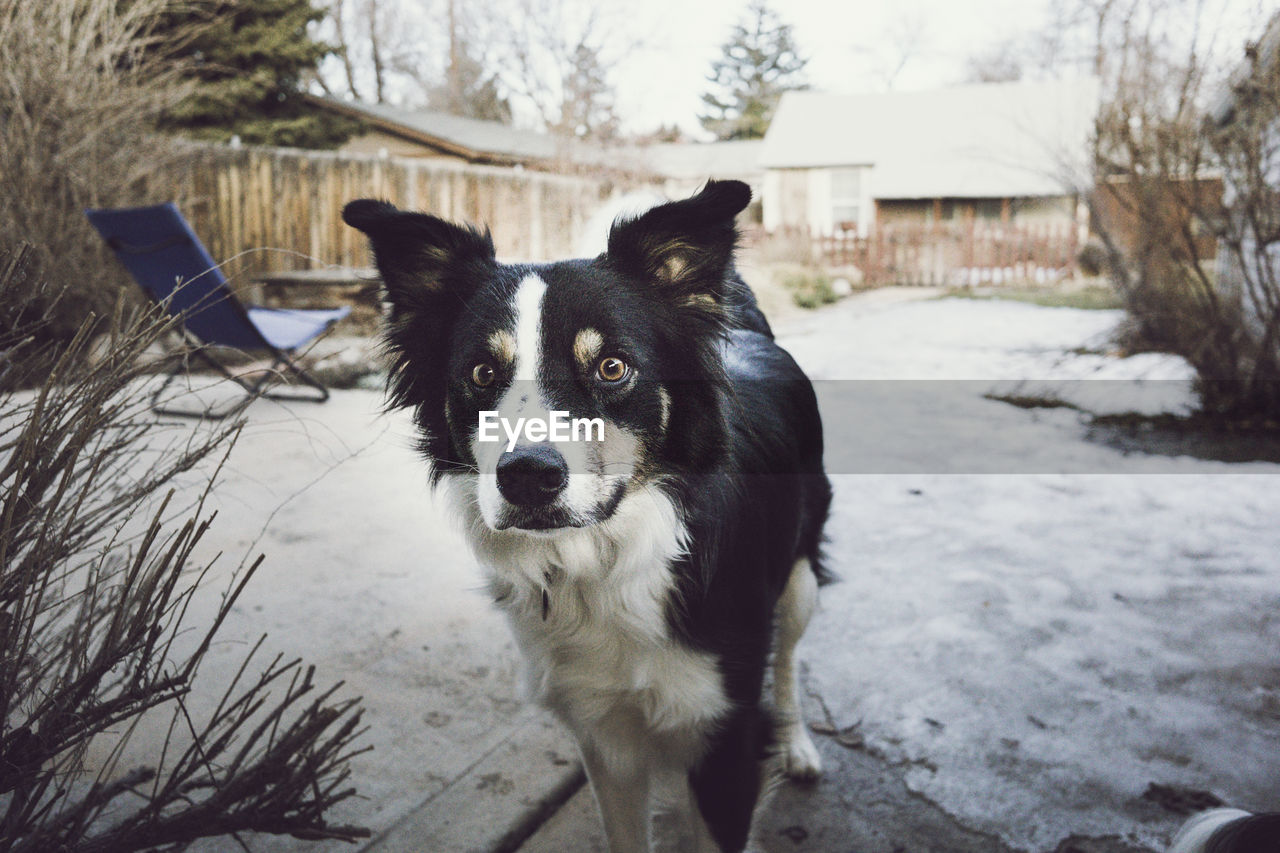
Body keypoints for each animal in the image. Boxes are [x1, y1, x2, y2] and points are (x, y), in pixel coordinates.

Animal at [345, 179, 834, 850]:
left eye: (612, 367)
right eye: (481, 373)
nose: (528, 476)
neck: (601, 561)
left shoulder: (725, 739)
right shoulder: (604, 732)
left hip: (800, 573)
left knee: (787, 657)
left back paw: (797, 742)